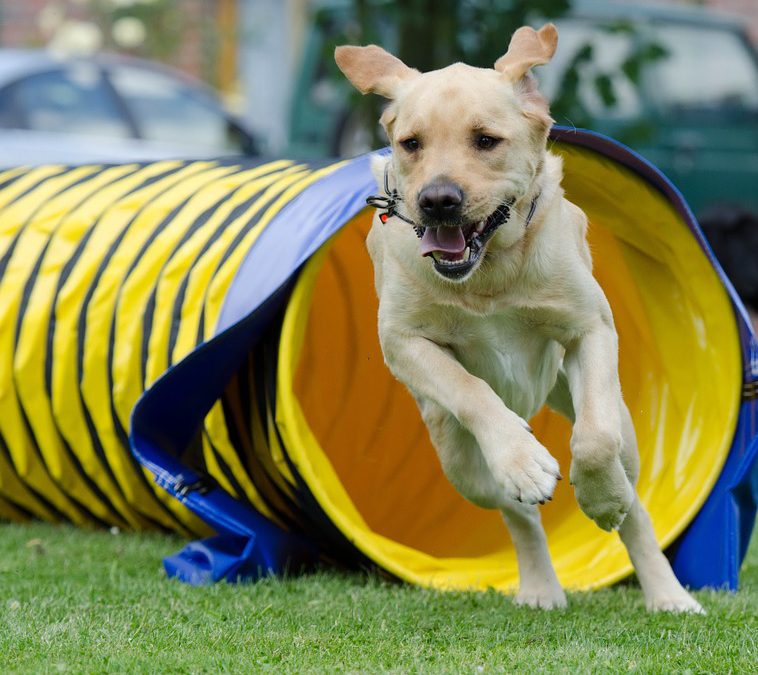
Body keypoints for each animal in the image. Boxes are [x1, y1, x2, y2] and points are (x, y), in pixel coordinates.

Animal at [338, 22, 708, 612]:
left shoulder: (589, 329)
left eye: (486, 140)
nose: (437, 200)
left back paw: (665, 592)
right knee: (517, 514)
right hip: (458, 461)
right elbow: (471, 389)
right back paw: (539, 585)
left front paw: (600, 499)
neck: (489, 271)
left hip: (619, 426)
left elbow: (594, 441)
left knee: (635, 506)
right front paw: (525, 462)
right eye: (411, 143)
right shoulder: (403, 342)